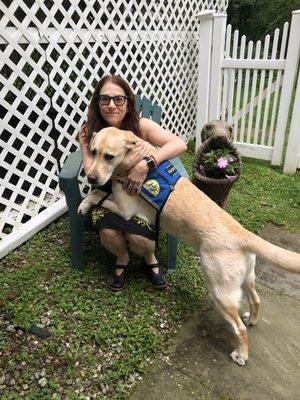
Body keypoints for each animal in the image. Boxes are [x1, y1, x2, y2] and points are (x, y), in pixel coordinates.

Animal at [78, 127, 300, 366]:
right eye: (93, 152)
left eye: (109, 156)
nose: (91, 177)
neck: (134, 161)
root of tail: (243, 234)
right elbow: (99, 193)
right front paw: (85, 201)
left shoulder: (126, 209)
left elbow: (98, 195)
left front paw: (85, 203)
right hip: (246, 278)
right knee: (256, 299)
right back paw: (253, 320)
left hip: (220, 292)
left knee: (239, 328)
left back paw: (241, 355)